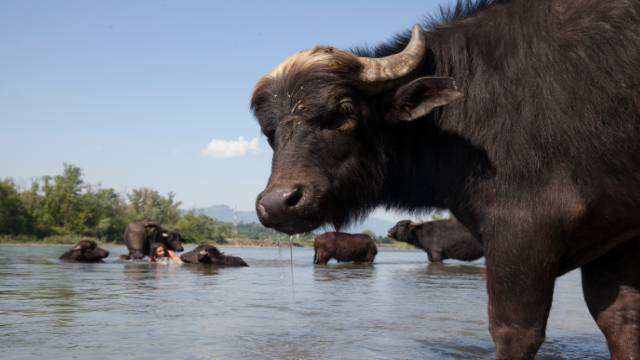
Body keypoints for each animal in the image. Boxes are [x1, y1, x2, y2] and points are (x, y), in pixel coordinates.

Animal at [249, 1, 640, 358]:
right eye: (269, 132)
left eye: (344, 109)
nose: (278, 203)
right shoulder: (616, 239)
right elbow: (621, 323)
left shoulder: (523, 230)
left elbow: (514, 332)